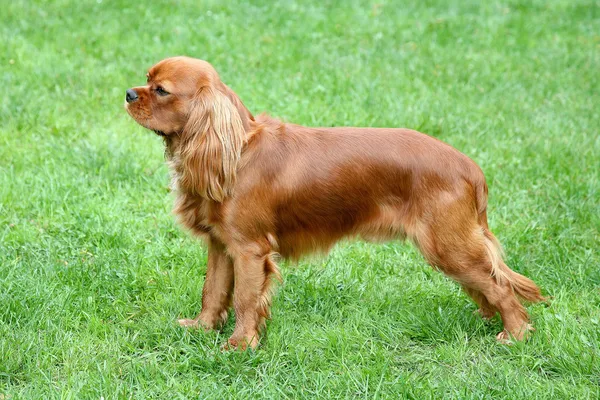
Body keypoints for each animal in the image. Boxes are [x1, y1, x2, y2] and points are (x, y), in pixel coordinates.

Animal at [123, 56, 544, 350]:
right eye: (146, 79)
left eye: (161, 90)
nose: (128, 94)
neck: (237, 151)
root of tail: (471, 168)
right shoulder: (220, 245)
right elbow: (212, 291)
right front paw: (201, 328)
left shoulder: (248, 249)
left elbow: (244, 299)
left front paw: (240, 345)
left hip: (446, 245)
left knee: (501, 286)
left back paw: (515, 334)